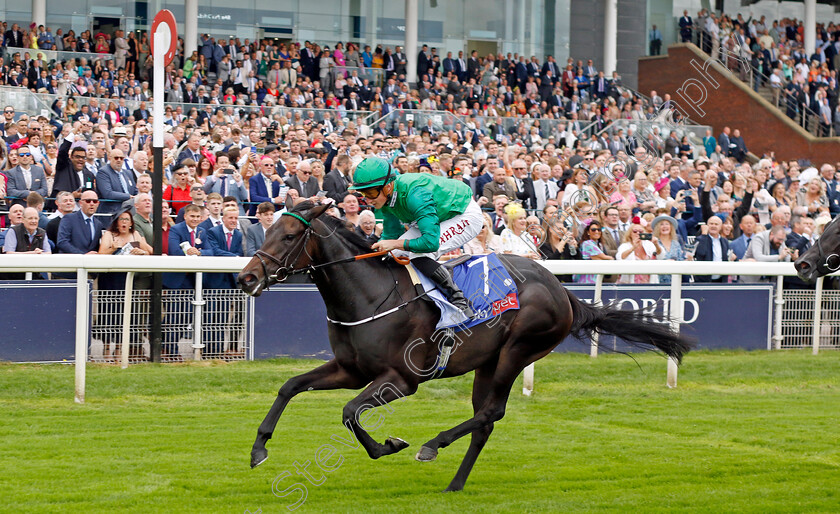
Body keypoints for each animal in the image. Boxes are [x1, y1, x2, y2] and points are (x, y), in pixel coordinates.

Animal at [238, 199, 696, 488]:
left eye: (290, 235)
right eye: (268, 228)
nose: (245, 277)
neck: (371, 294)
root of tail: (563, 291)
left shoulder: (400, 379)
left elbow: (350, 413)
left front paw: (390, 445)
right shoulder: (350, 370)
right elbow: (290, 386)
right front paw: (259, 449)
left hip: (518, 350)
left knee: (492, 412)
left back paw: (431, 446)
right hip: (488, 362)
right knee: (485, 421)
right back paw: (455, 484)